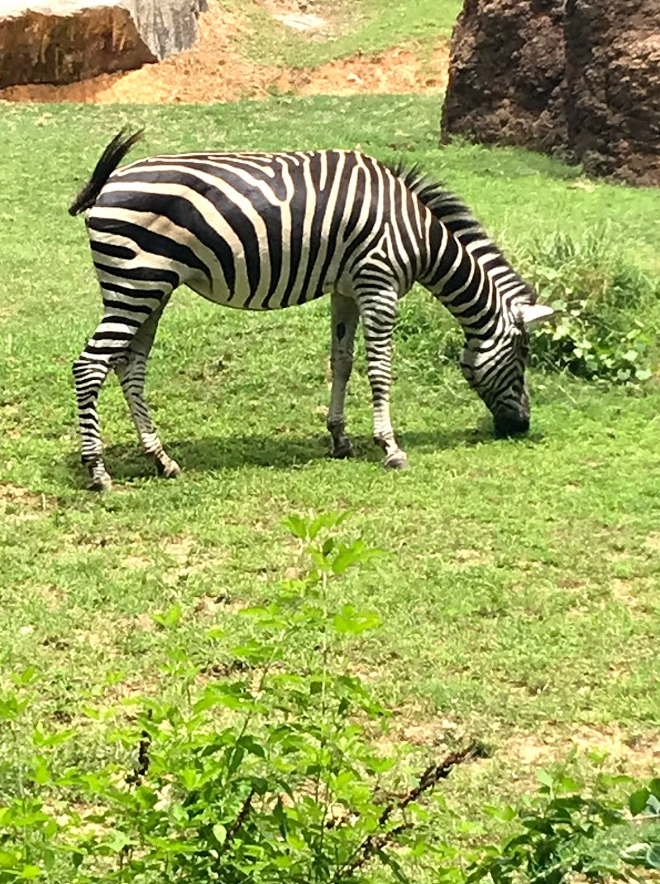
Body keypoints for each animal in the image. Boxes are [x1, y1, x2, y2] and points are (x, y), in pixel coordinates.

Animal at [69, 129, 554, 491]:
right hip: (136, 284)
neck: (419, 234)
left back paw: (162, 459)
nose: (521, 426)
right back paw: (98, 472)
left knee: (129, 366)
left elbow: (342, 361)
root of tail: (110, 181)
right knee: (89, 365)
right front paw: (391, 448)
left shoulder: (347, 289)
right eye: (523, 356)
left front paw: (340, 438)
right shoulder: (379, 284)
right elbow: (380, 371)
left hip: (151, 289)